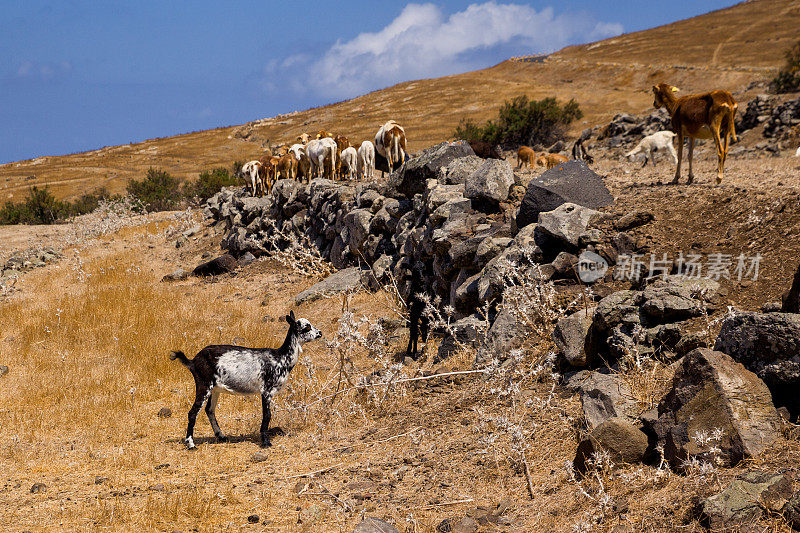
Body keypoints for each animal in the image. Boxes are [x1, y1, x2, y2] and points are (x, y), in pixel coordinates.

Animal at [170, 310, 322, 446]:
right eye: (306, 327)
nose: (320, 333)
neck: (281, 358)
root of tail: (193, 361)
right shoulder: (266, 391)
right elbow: (267, 415)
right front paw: (265, 442)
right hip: (204, 384)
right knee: (193, 412)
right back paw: (191, 444)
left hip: (215, 389)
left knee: (209, 410)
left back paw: (221, 436)